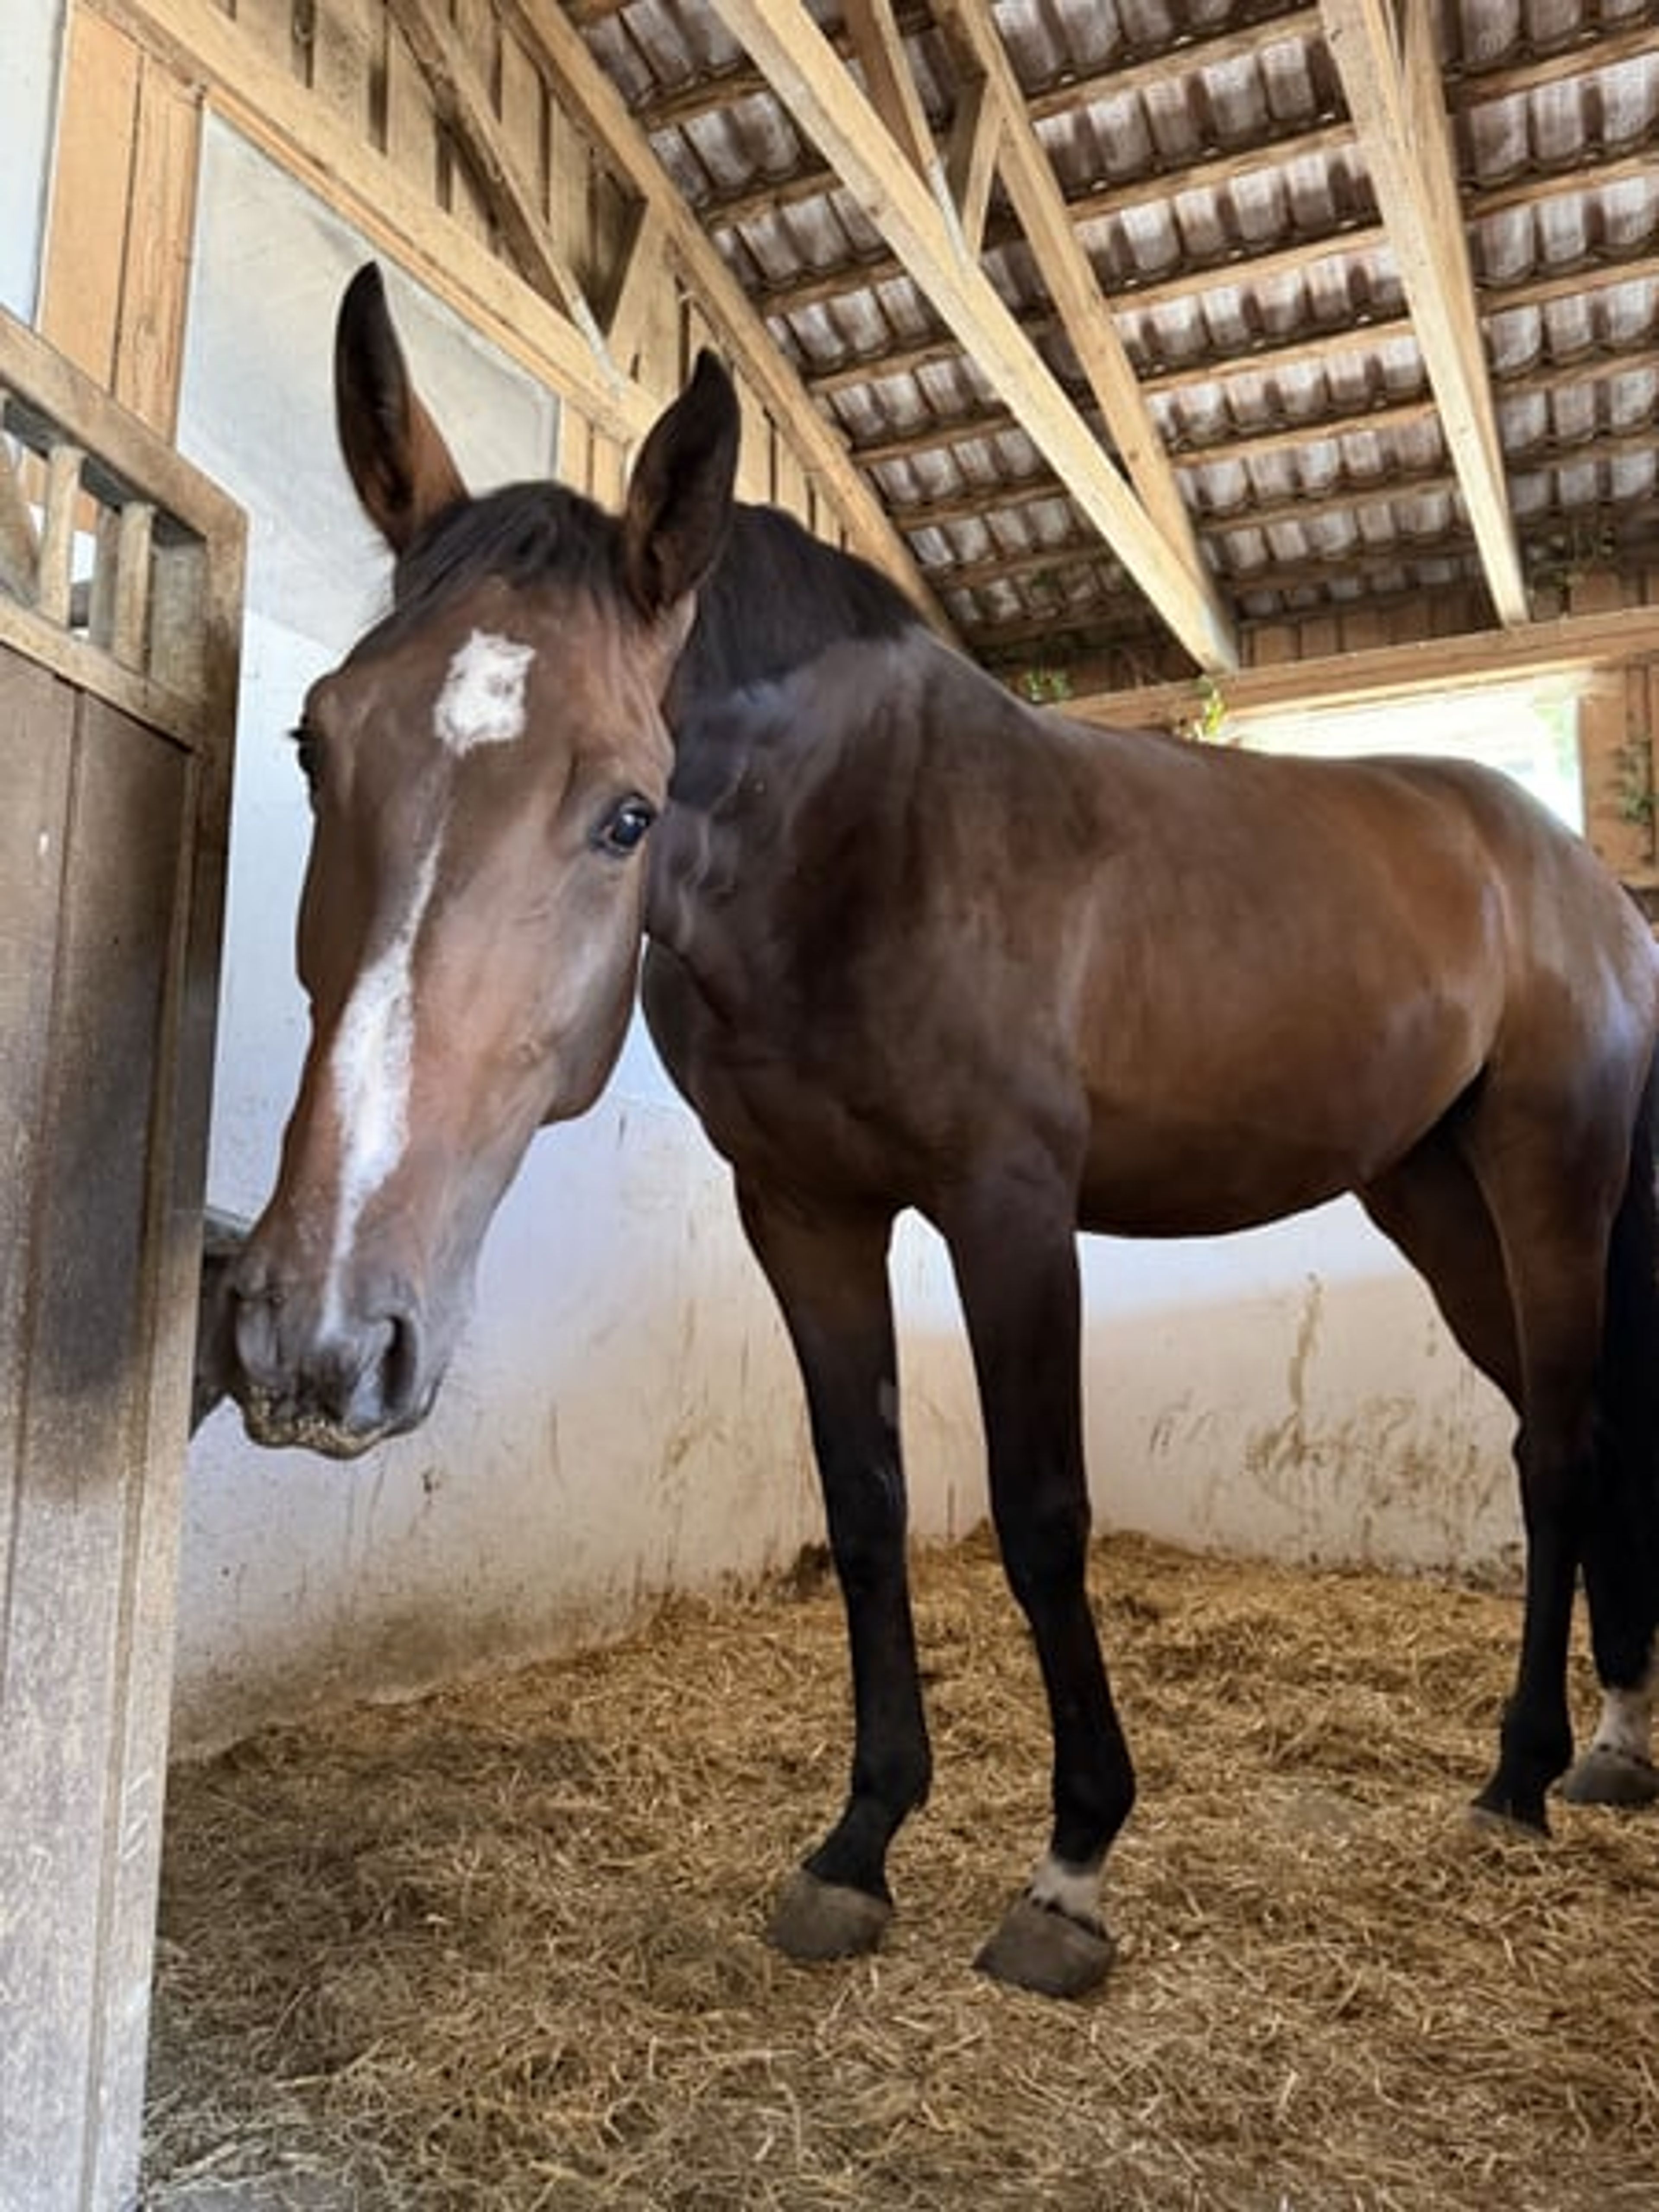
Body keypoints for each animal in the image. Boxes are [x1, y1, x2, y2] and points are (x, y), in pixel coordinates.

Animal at [222, 263, 1659, 1998]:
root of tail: (1576, 875)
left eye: (627, 810)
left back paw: (1534, 1765)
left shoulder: (1010, 1209)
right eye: (314, 740)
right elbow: (865, 1507)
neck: (866, 837)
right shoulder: (804, 1214)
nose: (315, 1335)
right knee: (1567, 1430)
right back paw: (1592, 1745)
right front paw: (858, 1844)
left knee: (1566, 1443)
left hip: (1545, 1183)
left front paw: (1071, 1865)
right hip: (1433, 1203)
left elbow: (1043, 1515)